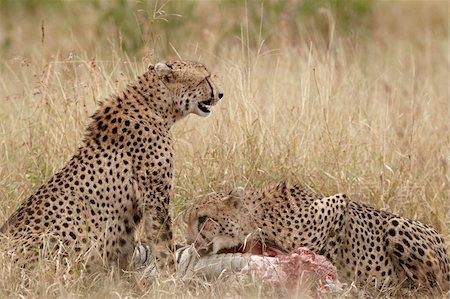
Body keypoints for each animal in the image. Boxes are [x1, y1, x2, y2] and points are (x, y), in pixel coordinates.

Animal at [0, 59, 222, 274]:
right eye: (205, 78)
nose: (220, 94)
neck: (153, 105)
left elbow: (127, 250)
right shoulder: (154, 196)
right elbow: (162, 240)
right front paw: (171, 276)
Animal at [184, 184, 450, 294]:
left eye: (203, 219)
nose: (189, 243)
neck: (259, 219)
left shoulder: (334, 208)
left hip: (397, 225)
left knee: (431, 286)